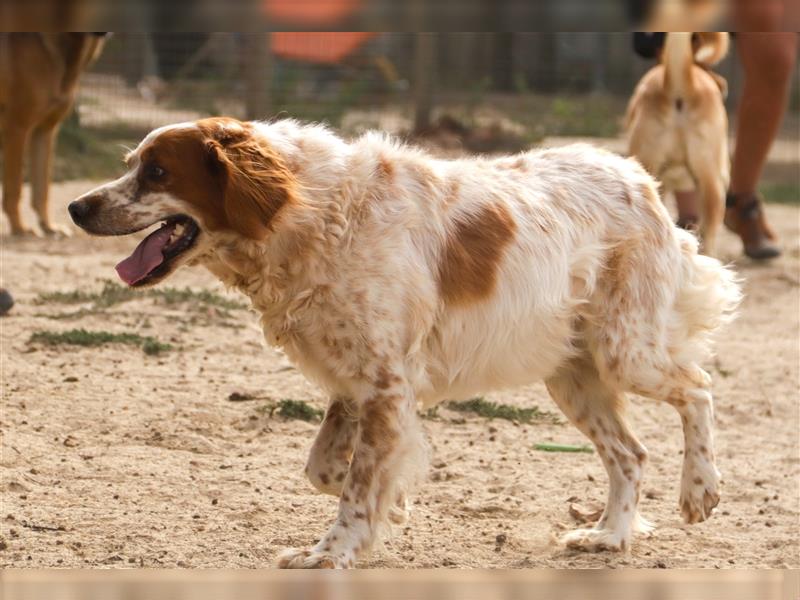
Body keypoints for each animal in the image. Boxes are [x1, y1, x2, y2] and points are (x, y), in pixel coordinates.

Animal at [0, 32, 106, 234]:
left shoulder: (44, 132)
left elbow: (42, 188)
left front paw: (48, 226)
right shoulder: (17, 128)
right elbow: (15, 188)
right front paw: (19, 228)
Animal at [67, 116, 736, 568]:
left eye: (157, 171)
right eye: (130, 163)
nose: (75, 206)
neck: (309, 215)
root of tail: (639, 178)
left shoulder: (385, 384)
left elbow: (357, 486)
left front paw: (330, 552)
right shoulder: (355, 380)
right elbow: (326, 468)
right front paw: (397, 507)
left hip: (626, 353)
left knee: (699, 389)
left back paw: (699, 491)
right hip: (574, 378)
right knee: (631, 454)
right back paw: (611, 535)